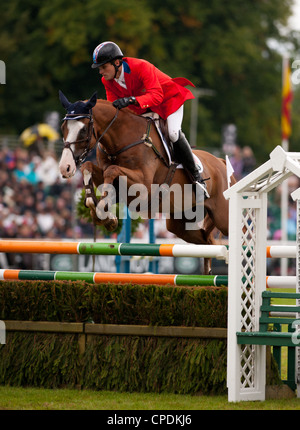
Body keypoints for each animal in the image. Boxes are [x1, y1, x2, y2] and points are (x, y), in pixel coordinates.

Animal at [56, 91, 234, 274]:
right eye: (63, 128)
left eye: (83, 129)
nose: (65, 167)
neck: (122, 138)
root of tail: (221, 162)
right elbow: (89, 167)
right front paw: (99, 209)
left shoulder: (144, 186)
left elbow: (112, 170)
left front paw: (105, 208)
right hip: (180, 224)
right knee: (209, 243)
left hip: (223, 217)